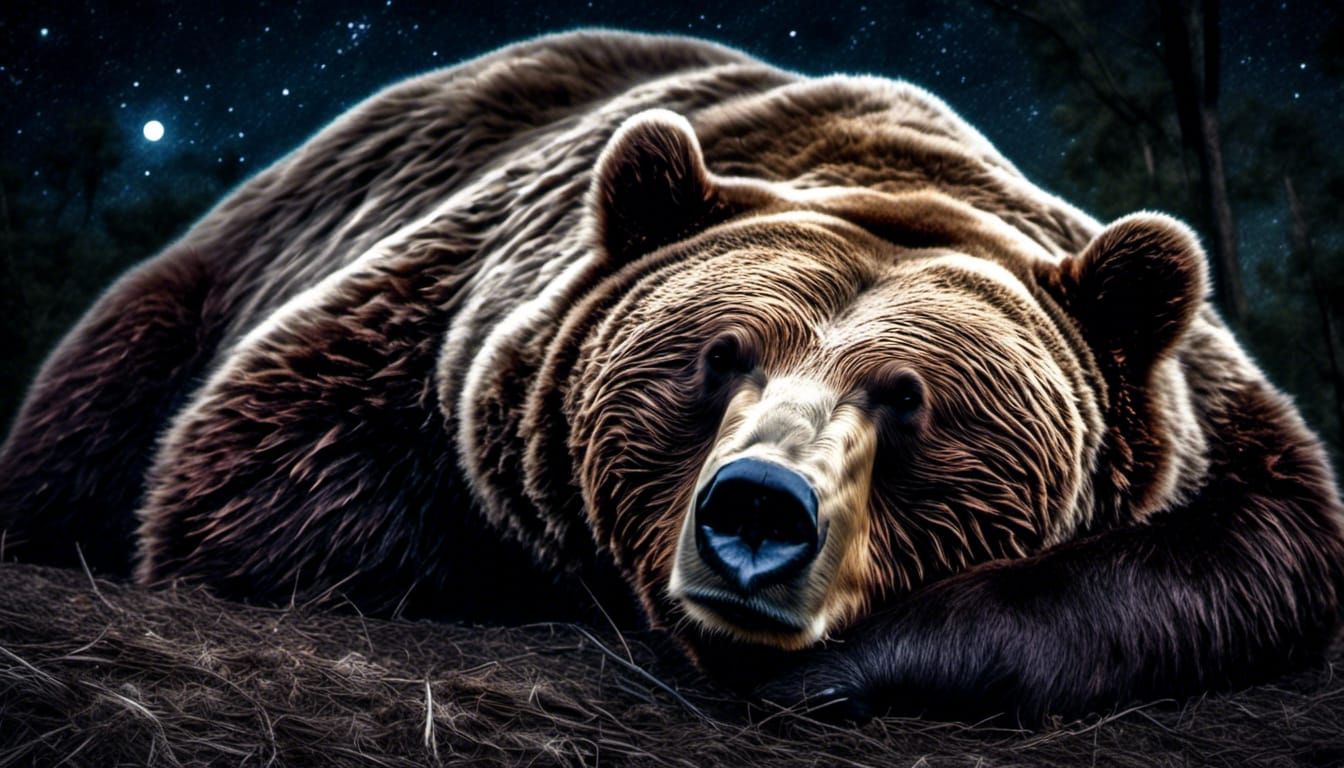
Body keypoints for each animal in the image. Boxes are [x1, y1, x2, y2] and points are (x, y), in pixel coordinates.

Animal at [1, 30, 1341, 724]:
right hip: (182, 304)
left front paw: (846, 663)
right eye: (717, 359)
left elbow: (1245, 560)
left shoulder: (1208, 426)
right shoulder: (420, 348)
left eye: (911, 400)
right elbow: (271, 504)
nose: (757, 514)